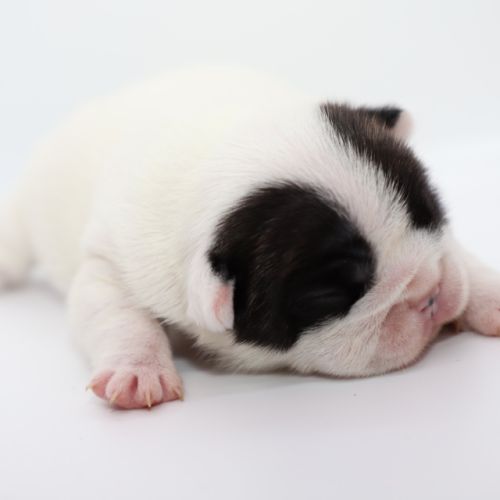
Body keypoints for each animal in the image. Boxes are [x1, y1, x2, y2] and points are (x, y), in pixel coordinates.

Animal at [1, 67, 498, 409]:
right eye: (332, 294)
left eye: (431, 215)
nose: (429, 292)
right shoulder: (109, 264)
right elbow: (119, 316)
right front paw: (138, 371)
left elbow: (462, 257)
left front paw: (488, 295)